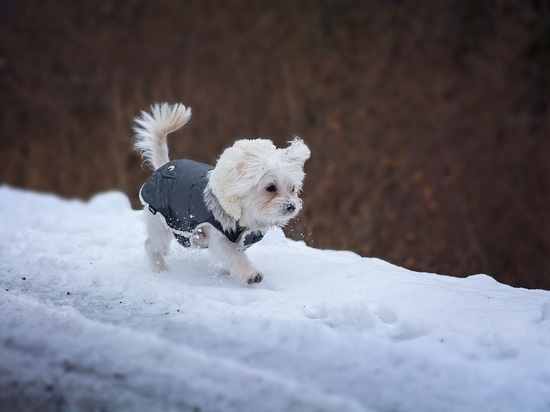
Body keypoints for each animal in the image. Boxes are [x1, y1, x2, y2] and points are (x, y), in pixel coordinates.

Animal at [133, 102, 310, 284]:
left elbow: (232, 259)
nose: (291, 206)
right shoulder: (219, 236)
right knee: (151, 246)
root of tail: (164, 166)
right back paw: (160, 269)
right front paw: (251, 274)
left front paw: (227, 273)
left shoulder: (241, 240)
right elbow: (234, 257)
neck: (245, 215)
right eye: (270, 188)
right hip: (159, 221)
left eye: (293, 189)